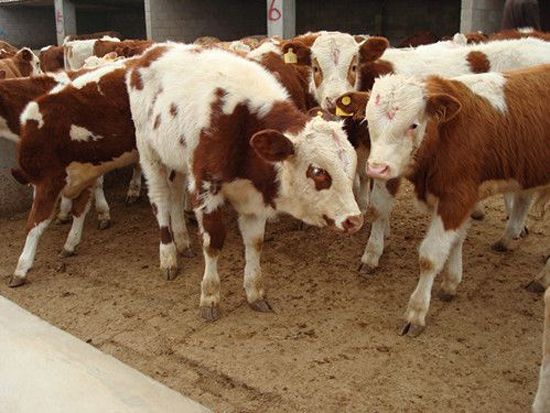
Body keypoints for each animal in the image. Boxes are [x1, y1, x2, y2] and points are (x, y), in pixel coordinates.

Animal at [9, 60, 138, 286]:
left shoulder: (50, 180)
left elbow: (35, 222)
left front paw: (22, 268)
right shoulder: (85, 172)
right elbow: (80, 209)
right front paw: (71, 243)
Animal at [127, 44, 364, 318]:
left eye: (352, 168)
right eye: (317, 171)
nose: (355, 220)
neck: (241, 124)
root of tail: (152, 50)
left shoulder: (253, 197)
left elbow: (254, 243)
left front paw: (254, 292)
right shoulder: (206, 189)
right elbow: (213, 242)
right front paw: (210, 296)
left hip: (178, 159)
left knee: (176, 193)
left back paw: (183, 239)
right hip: (149, 152)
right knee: (161, 200)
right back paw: (168, 255)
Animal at [366, 65, 550, 334]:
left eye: (413, 125)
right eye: (368, 121)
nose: (377, 168)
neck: (446, 134)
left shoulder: (457, 197)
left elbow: (430, 257)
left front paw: (416, 312)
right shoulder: (459, 198)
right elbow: (456, 239)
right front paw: (451, 282)